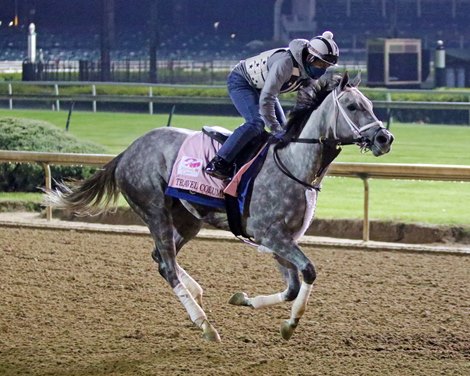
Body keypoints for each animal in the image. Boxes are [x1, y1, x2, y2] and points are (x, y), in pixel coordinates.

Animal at [46, 72, 392, 342]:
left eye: (370, 105)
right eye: (353, 106)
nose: (384, 138)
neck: (293, 163)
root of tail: (126, 153)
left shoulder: (279, 240)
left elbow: (293, 286)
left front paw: (245, 300)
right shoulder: (270, 235)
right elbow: (308, 271)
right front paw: (291, 323)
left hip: (187, 219)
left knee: (160, 259)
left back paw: (197, 293)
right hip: (154, 210)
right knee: (167, 266)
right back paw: (204, 324)